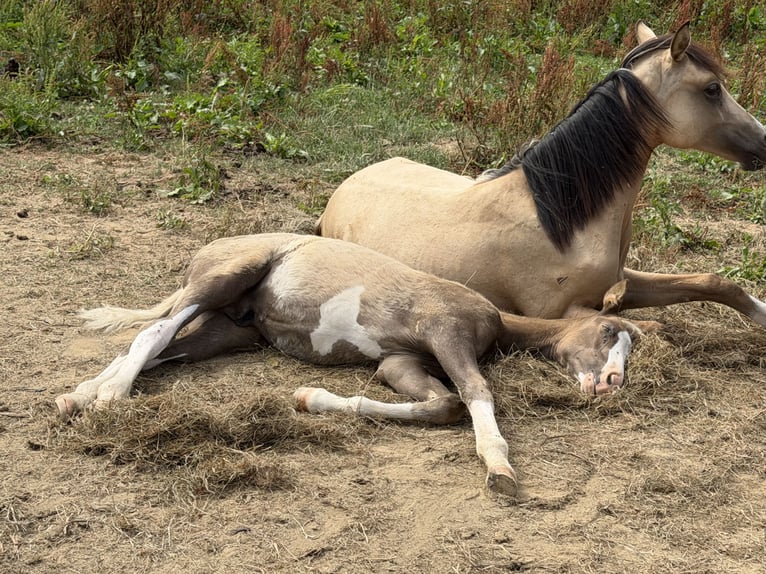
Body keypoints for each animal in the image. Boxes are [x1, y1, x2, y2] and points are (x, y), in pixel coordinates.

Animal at [55, 233, 643, 495]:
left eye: (629, 346)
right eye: (608, 333)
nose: (611, 383)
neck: (493, 317)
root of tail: (207, 251)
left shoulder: (399, 363)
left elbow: (442, 404)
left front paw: (308, 399)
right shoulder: (446, 333)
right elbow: (476, 395)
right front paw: (498, 466)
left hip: (229, 331)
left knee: (156, 349)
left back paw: (78, 396)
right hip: (223, 281)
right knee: (153, 331)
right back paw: (106, 398)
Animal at [317, 22, 766, 329]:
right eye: (712, 89)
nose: (763, 140)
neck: (564, 216)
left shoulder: (623, 279)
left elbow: (713, 281)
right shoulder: (562, 311)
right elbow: (643, 325)